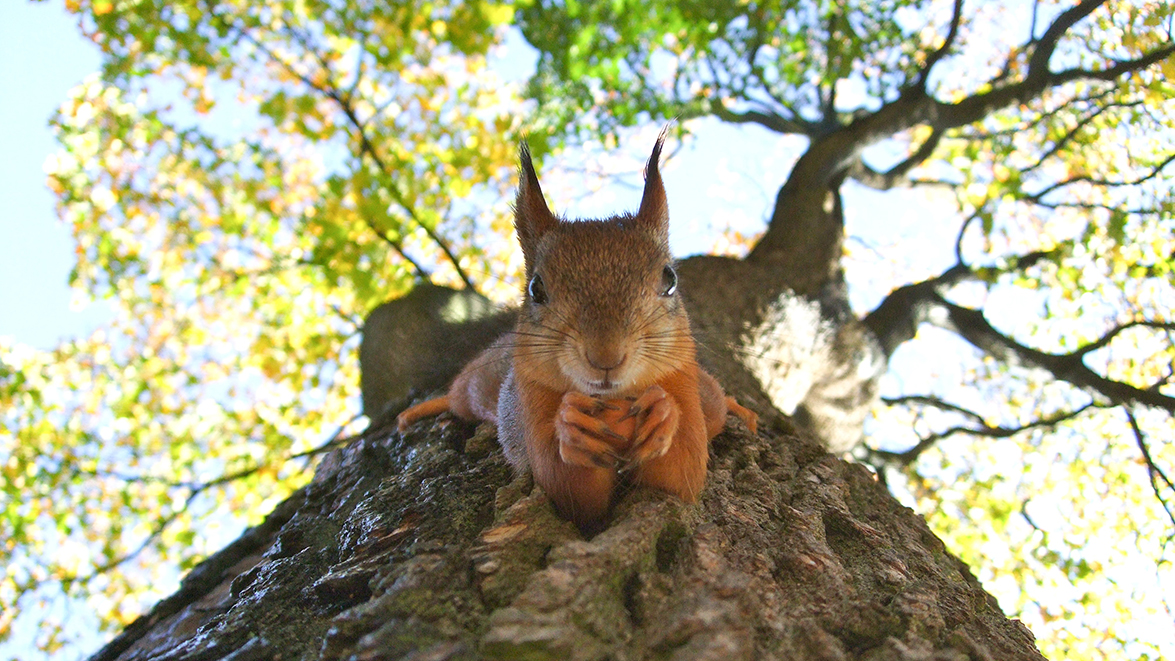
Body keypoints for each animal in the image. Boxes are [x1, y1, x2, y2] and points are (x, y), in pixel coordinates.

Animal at [399, 132, 756, 530]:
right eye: (536, 289)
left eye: (670, 280)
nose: (605, 357)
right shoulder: (532, 401)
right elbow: (569, 490)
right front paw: (572, 427)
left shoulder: (683, 383)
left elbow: (682, 475)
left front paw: (663, 413)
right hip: (479, 386)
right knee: (458, 396)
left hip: (706, 394)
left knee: (717, 402)